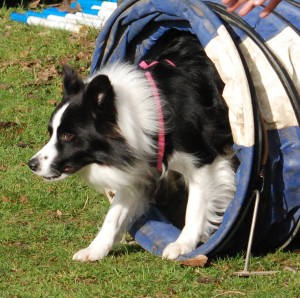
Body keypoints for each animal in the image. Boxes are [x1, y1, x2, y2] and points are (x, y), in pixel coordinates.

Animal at [28, 32, 236, 260]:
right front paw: (95, 249)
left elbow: (196, 206)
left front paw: (183, 244)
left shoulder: (204, 160)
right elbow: (113, 215)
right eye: (51, 132)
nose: (31, 164)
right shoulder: (139, 167)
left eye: (67, 135)